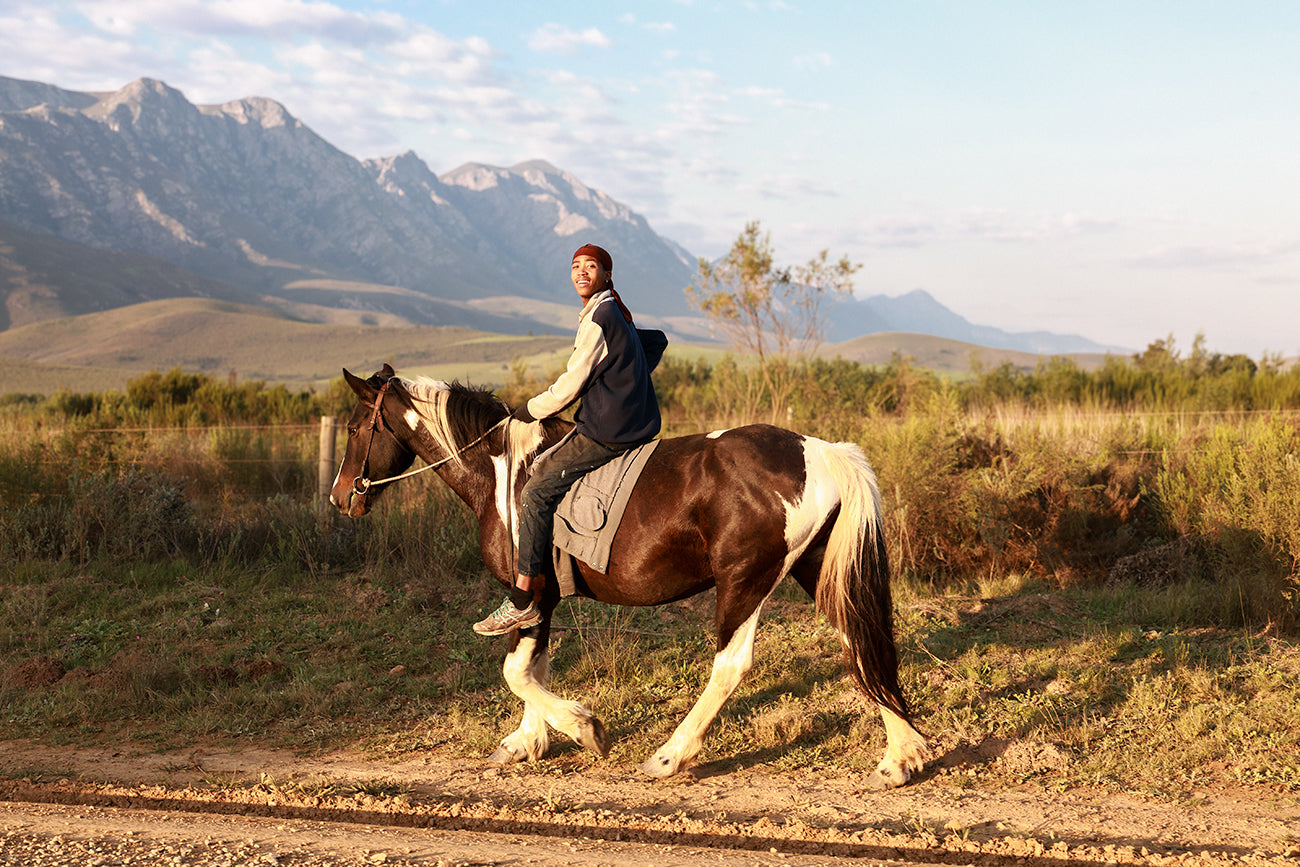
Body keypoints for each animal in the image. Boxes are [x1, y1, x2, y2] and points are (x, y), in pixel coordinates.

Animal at [329, 364, 928, 789]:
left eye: (356, 427)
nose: (339, 498)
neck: (503, 473)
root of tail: (820, 451)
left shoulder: (529, 594)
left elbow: (516, 671)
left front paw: (583, 730)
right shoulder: (545, 601)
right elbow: (533, 668)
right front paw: (526, 741)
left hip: (743, 581)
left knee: (731, 665)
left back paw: (668, 756)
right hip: (812, 568)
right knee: (860, 642)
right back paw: (902, 756)